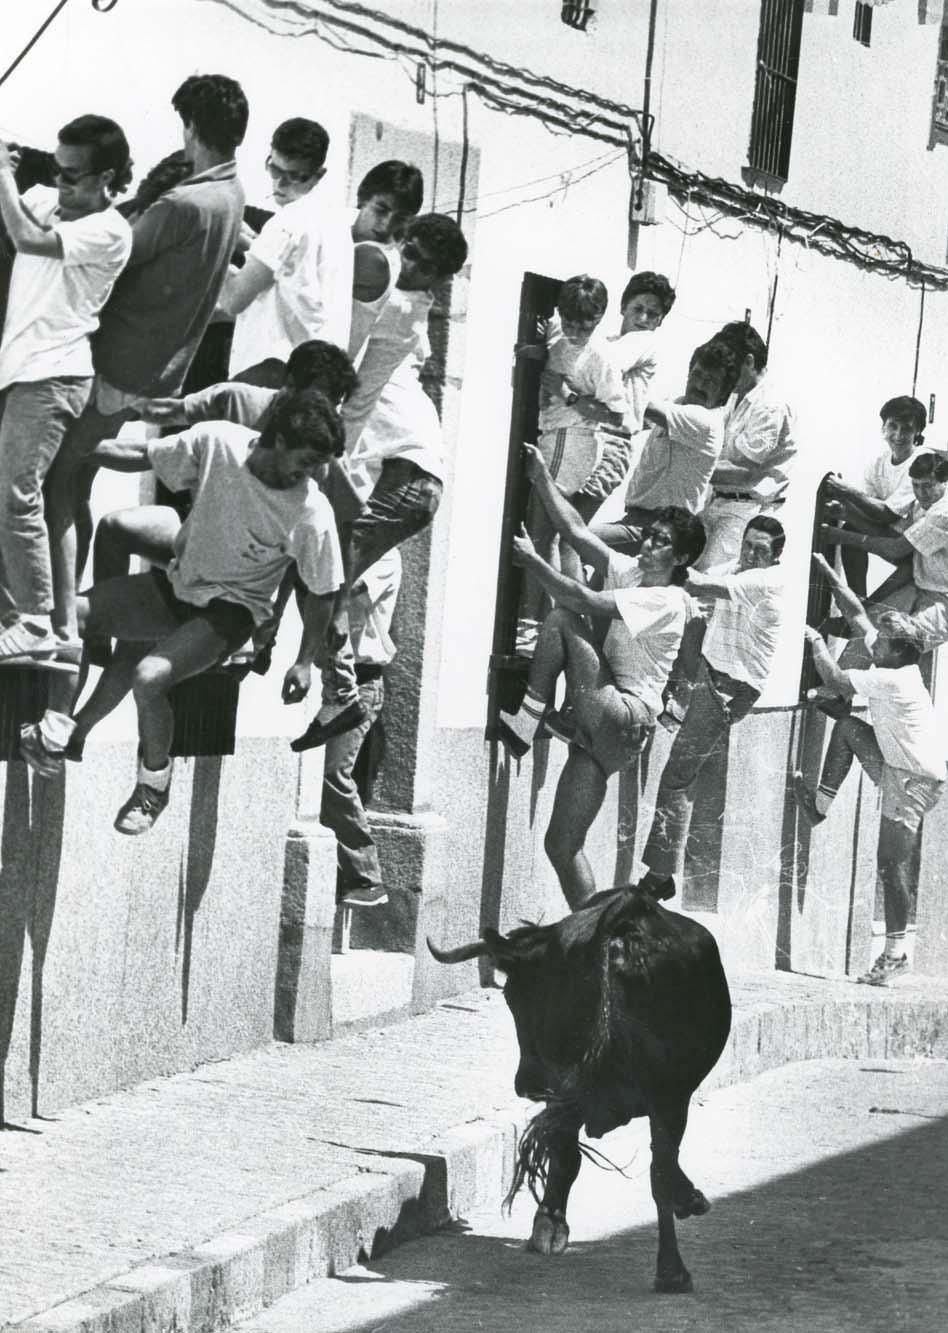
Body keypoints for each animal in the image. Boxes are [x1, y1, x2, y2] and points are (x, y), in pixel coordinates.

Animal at [429, 885, 736, 1290]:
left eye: (512, 996)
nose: (525, 1085)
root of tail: (619, 928)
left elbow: (568, 1153)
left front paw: (549, 1224)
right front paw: (690, 1201)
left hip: (581, 1085)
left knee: (582, 1151)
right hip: (658, 1093)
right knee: (657, 1170)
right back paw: (671, 1269)